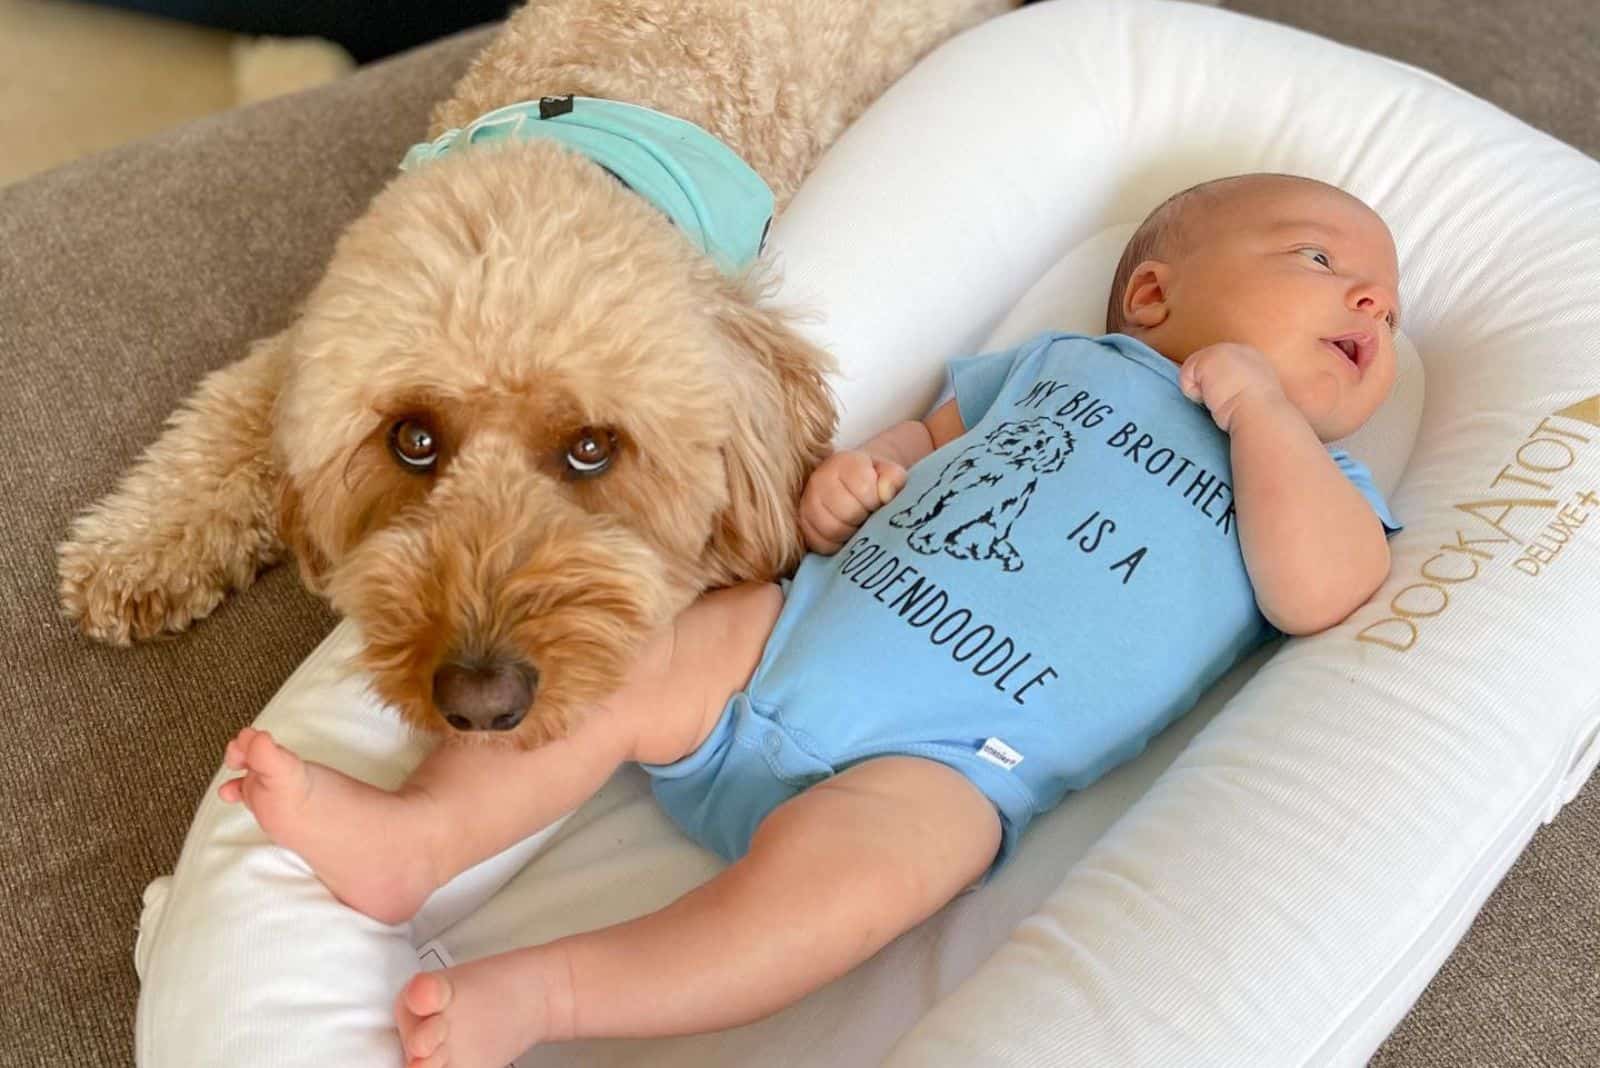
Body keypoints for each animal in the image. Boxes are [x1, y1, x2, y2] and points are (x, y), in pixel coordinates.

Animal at [62, 0, 1017, 748]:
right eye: (412, 440)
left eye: (593, 448)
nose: (481, 701)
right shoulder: (315, 330)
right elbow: (228, 420)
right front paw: (132, 549)